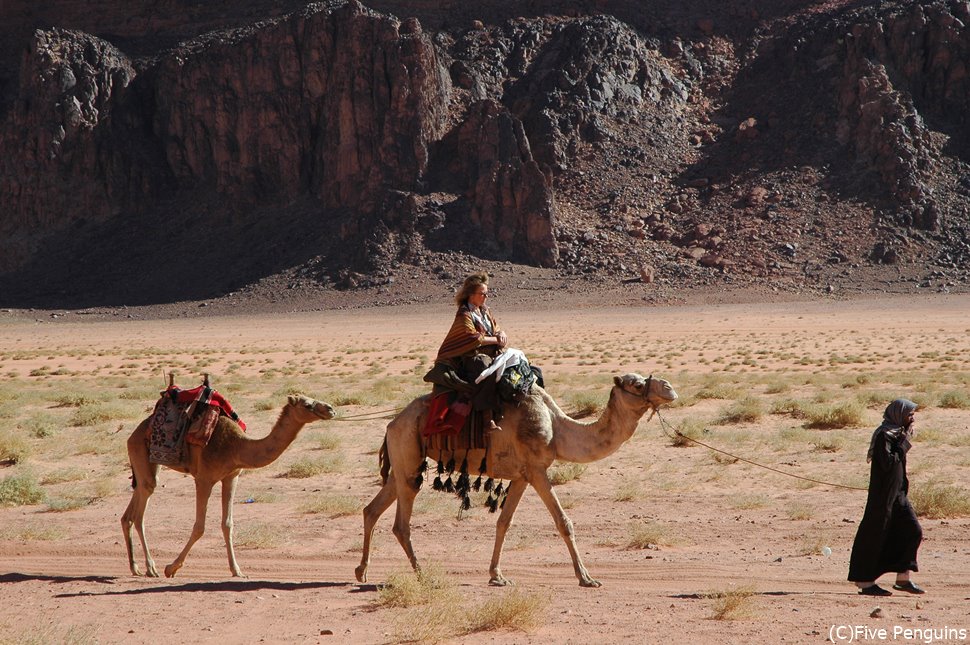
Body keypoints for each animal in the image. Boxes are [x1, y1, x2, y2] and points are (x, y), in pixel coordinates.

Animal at [123, 392, 334, 580]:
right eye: (307, 404)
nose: (330, 409)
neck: (236, 446)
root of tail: (132, 434)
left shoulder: (231, 477)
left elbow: (227, 524)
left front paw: (237, 571)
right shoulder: (204, 479)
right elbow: (200, 527)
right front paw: (171, 568)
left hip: (148, 464)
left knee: (132, 509)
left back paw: (135, 568)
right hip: (140, 451)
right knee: (140, 513)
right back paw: (151, 568)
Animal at [352, 372, 676, 588]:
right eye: (637, 384)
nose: (670, 389)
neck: (557, 429)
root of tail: (392, 423)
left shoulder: (522, 476)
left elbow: (503, 522)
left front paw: (497, 575)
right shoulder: (537, 470)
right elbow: (563, 522)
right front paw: (586, 578)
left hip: (403, 464)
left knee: (372, 509)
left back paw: (362, 571)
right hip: (408, 454)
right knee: (400, 523)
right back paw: (421, 574)